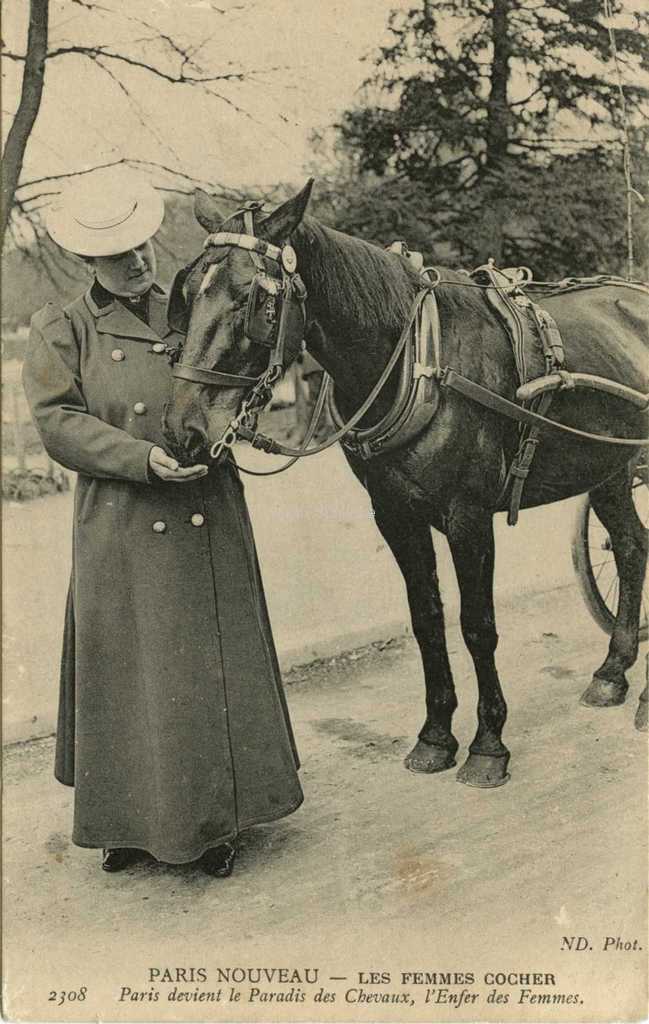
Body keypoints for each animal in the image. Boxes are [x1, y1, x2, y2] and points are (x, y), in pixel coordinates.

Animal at [161, 178, 646, 782]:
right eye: (186, 292)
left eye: (252, 298)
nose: (182, 430)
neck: (418, 362)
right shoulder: (395, 515)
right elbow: (427, 620)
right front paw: (436, 736)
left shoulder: (468, 517)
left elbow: (476, 625)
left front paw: (488, 744)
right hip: (610, 468)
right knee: (631, 548)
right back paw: (613, 671)